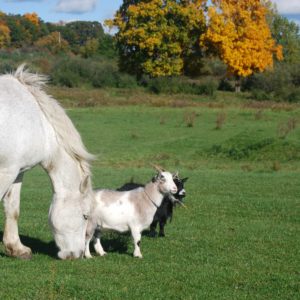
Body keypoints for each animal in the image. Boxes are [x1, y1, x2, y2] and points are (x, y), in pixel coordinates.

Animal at [0, 65, 94, 260]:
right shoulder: (5, 171)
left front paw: (17, 248)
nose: (77, 254)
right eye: (85, 216)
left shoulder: (17, 171)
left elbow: (12, 208)